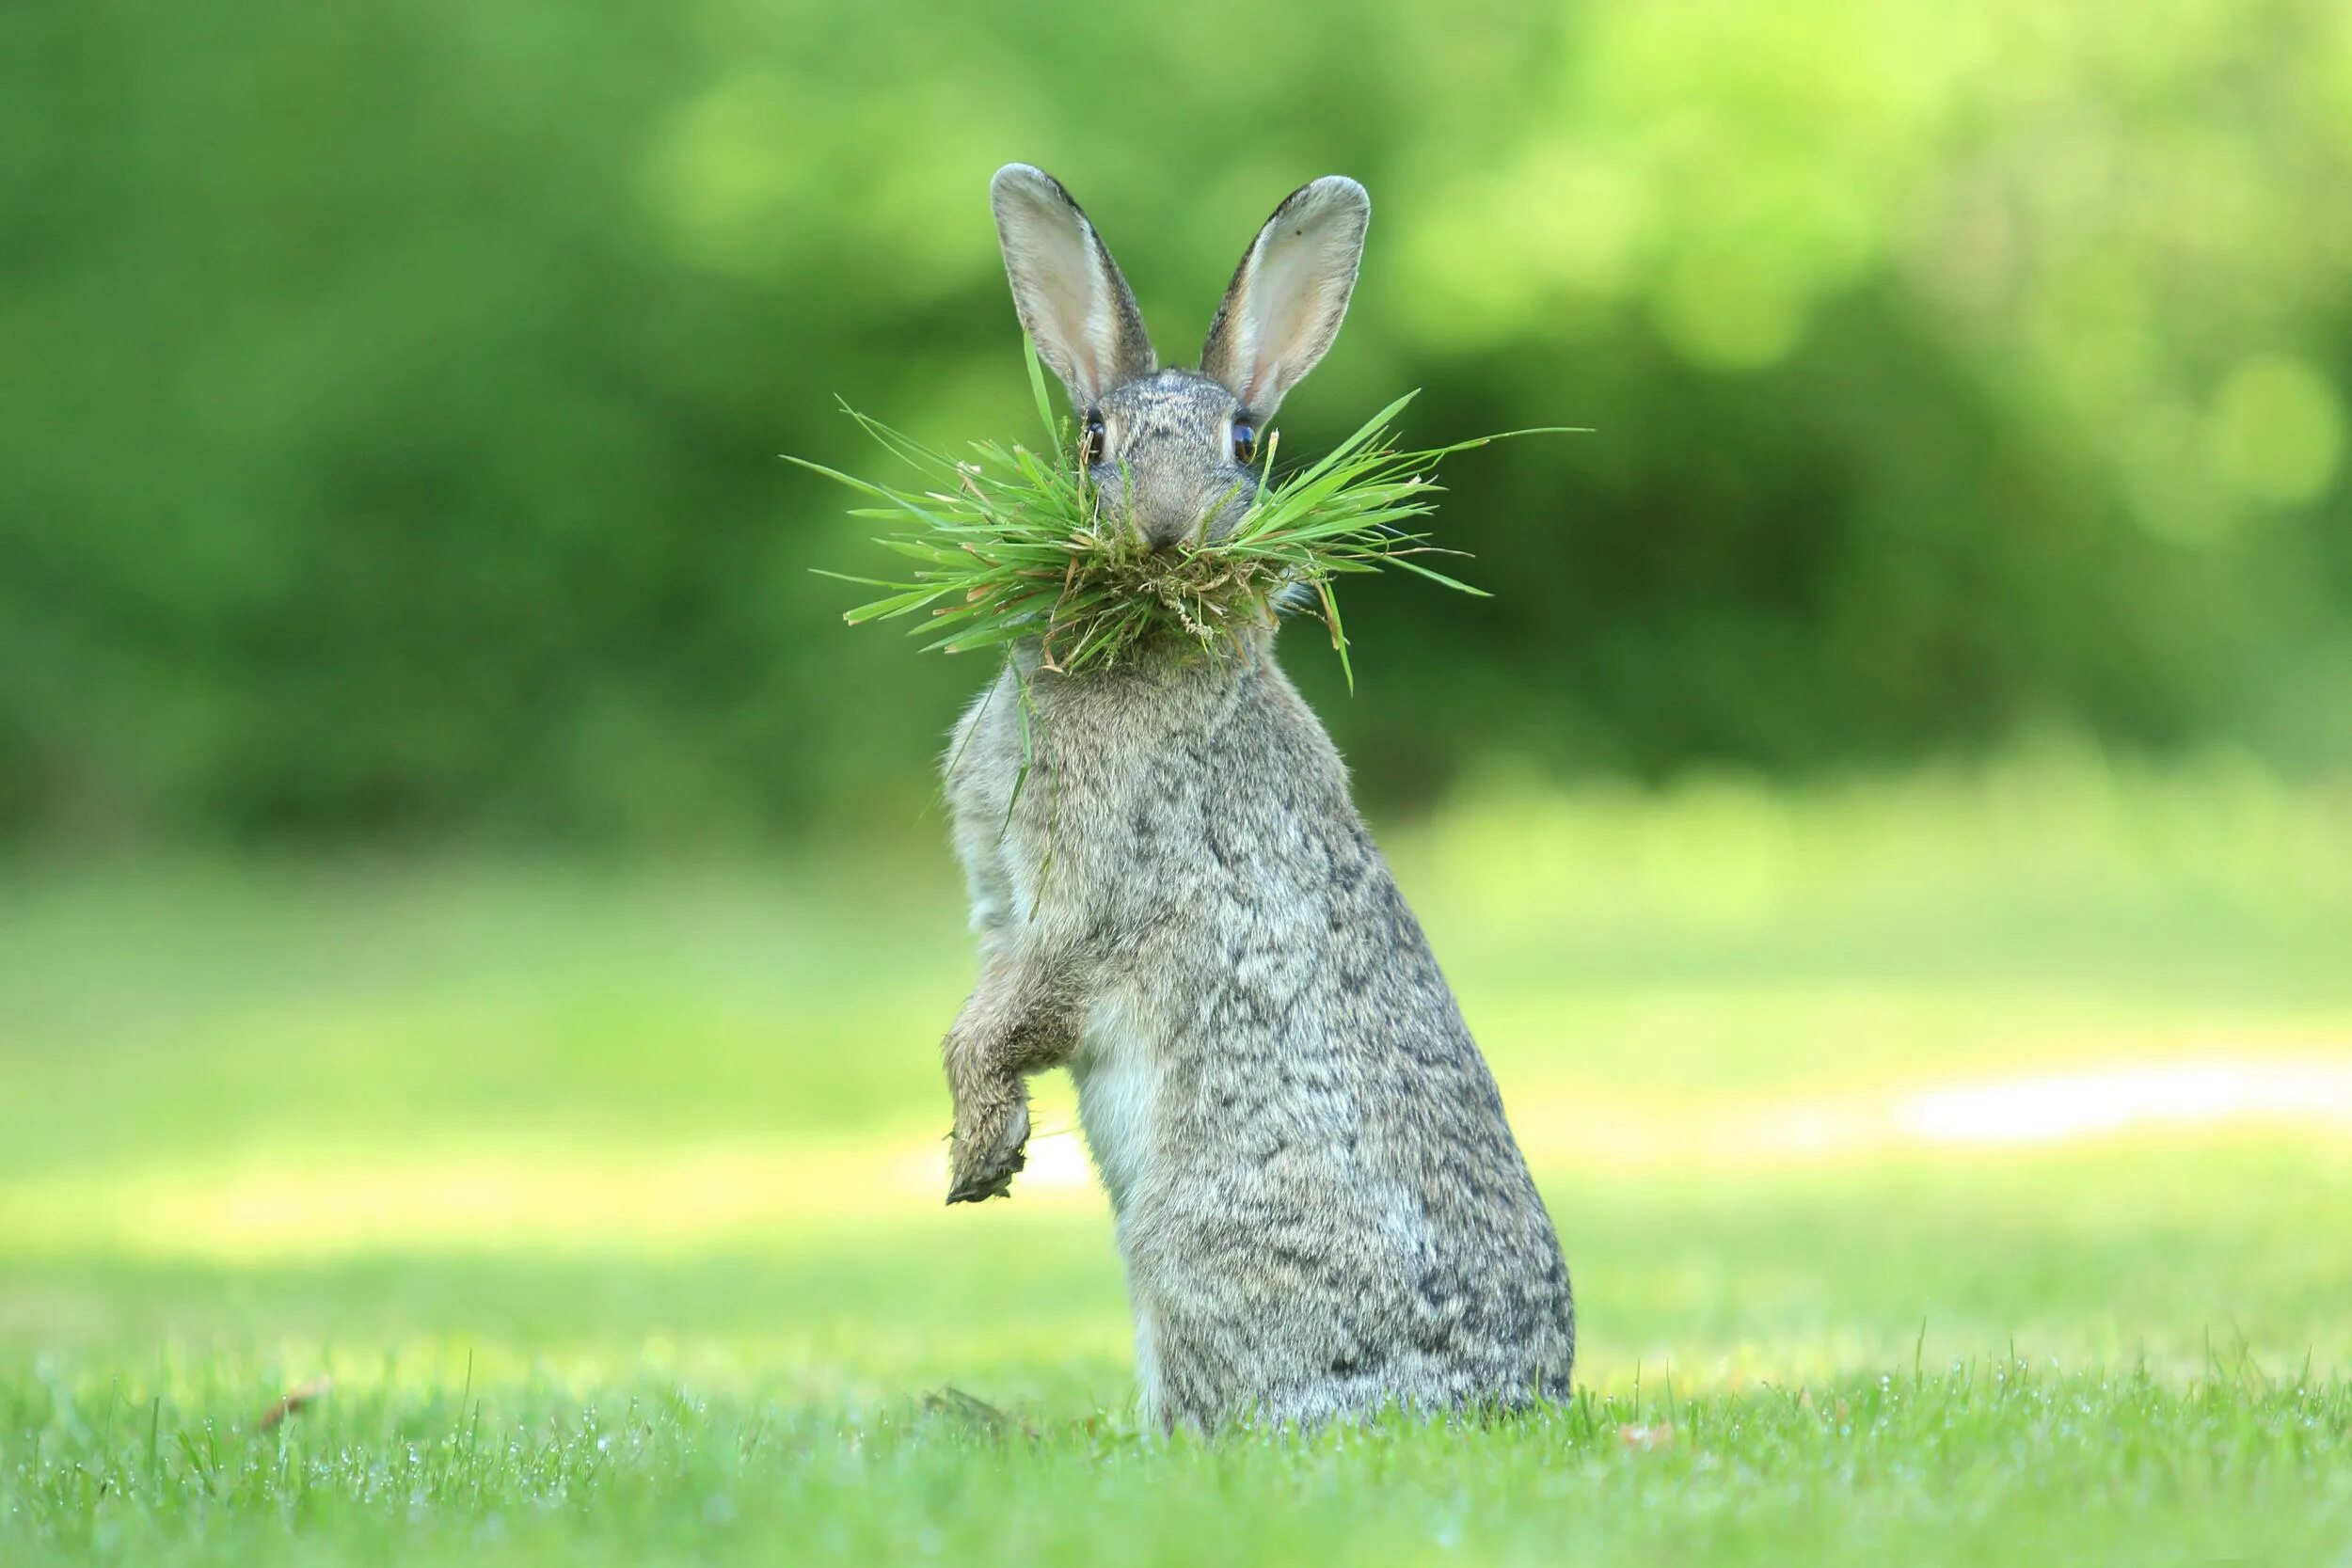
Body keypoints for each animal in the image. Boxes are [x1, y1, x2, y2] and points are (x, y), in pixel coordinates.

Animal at [941, 162, 1581, 1438]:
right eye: (1094, 437)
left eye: (1243, 441)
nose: (1164, 529)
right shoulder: (1002, 906)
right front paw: (987, 1148)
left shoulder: (1080, 904)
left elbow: (1013, 1011)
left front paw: (978, 1153)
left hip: (1187, 1238)